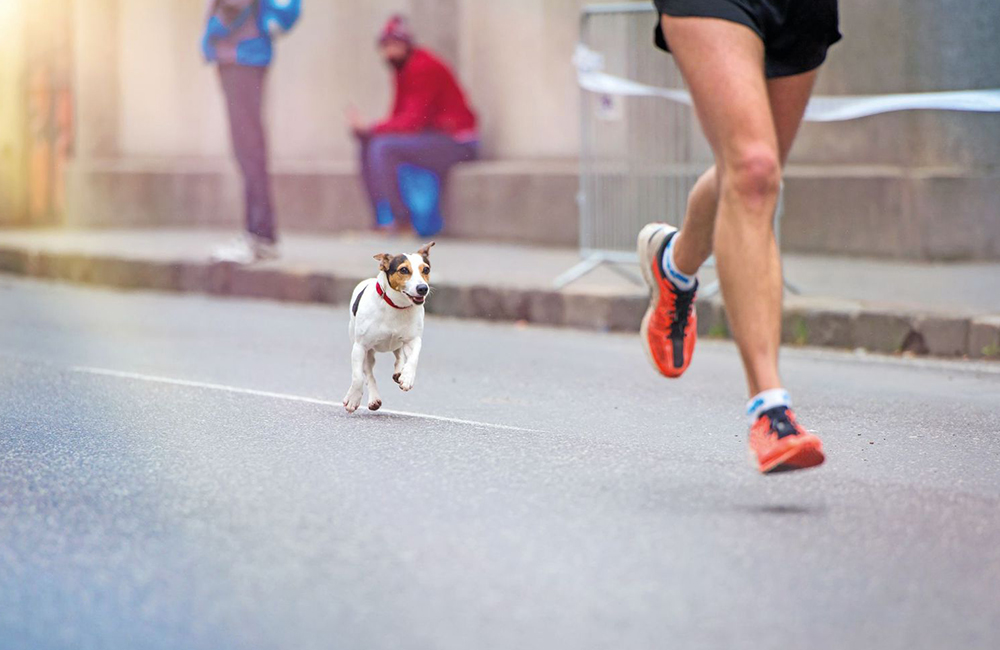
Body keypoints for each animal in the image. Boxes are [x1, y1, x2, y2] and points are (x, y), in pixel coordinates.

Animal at [344, 240, 434, 412]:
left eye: (426, 269)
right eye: (404, 270)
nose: (423, 288)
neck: (396, 306)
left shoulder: (413, 339)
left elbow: (413, 357)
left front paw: (407, 377)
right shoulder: (360, 346)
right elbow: (358, 377)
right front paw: (352, 399)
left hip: (398, 342)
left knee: (399, 355)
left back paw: (399, 371)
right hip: (366, 350)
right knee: (368, 373)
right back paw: (374, 399)